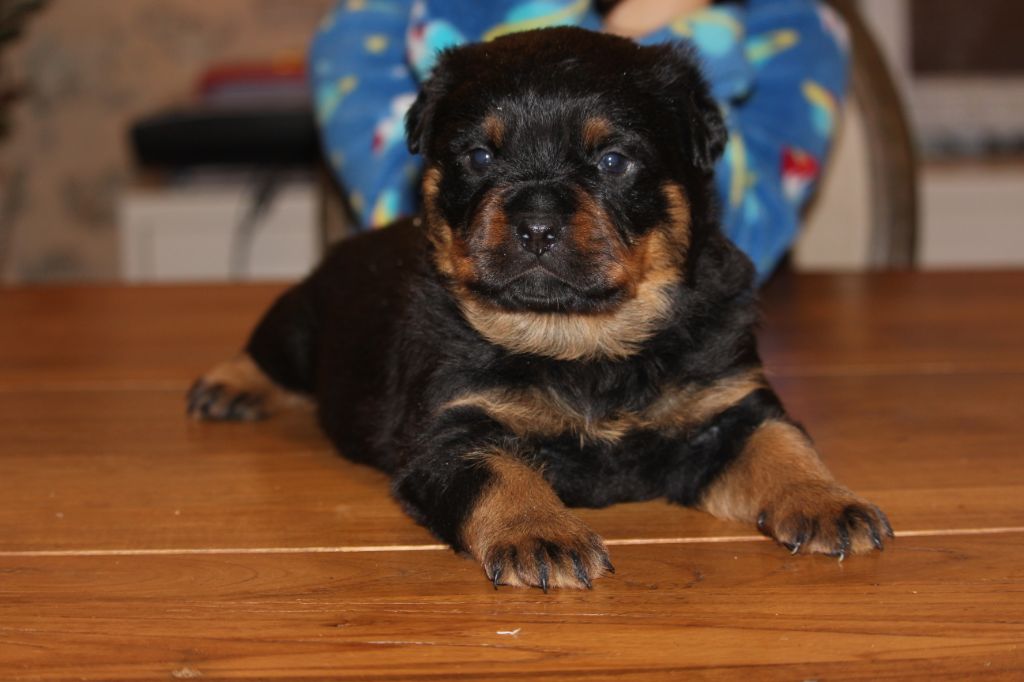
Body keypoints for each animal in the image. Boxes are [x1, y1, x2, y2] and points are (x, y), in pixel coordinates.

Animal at [187, 27, 892, 590]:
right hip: (299, 323)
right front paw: (540, 533)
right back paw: (229, 386)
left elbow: (782, 442)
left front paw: (828, 501)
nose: (536, 222)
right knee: (268, 351)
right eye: (479, 156)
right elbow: (504, 472)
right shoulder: (451, 431)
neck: (583, 342)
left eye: (613, 161)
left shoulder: (729, 403)